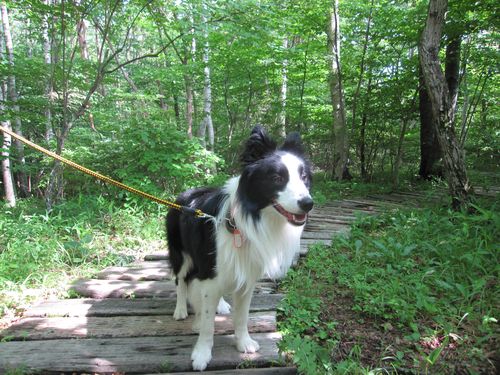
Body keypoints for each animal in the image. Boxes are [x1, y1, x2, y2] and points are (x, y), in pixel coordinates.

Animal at [168, 126, 314, 370]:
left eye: (304, 177)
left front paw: (243, 342)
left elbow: (242, 316)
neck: (240, 222)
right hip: (182, 253)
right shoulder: (208, 270)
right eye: (277, 178)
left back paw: (220, 305)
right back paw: (180, 309)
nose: (308, 203)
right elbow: (207, 322)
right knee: (180, 279)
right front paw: (202, 353)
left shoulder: (247, 274)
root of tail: (183, 193)